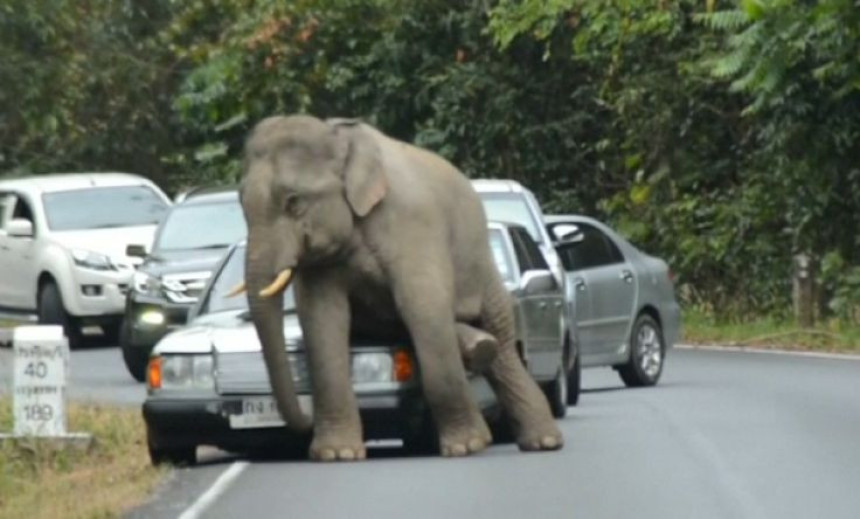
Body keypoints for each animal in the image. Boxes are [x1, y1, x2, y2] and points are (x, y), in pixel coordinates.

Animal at [233, 116, 564, 462]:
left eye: (294, 202)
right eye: (241, 204)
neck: (339, 137)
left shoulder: (414, 223)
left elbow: (422, 307)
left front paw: (466, 446)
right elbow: (322, 320)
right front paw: (337, 454)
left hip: (483, 265)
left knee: (501, 343)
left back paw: (543, 440)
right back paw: (480, 347)